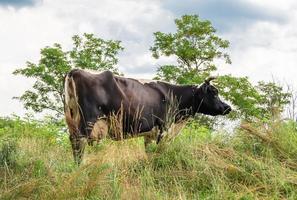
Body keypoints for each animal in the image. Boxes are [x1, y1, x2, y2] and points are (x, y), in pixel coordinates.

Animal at [63, 69, 231, 164]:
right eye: (213, 92)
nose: (227, 108)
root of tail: (75, 70)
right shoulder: (164, 129)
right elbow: (159, 153)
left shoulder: (150, 134)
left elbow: (149, 154)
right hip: (87, 121)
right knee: (79, 143)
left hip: (73, 120)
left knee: (74, 141)